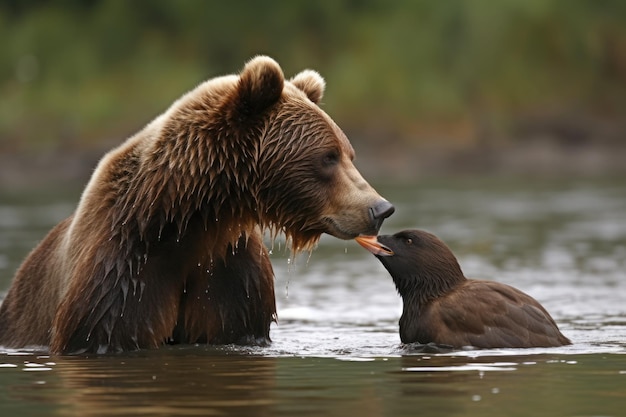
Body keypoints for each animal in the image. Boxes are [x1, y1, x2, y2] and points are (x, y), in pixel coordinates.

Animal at [0, 56, 390, 354]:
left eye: (349, 154)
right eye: (328, 157)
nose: (380, 208)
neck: (185, 221)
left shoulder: (229, 276)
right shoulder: (120, 276)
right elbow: (109, 329)